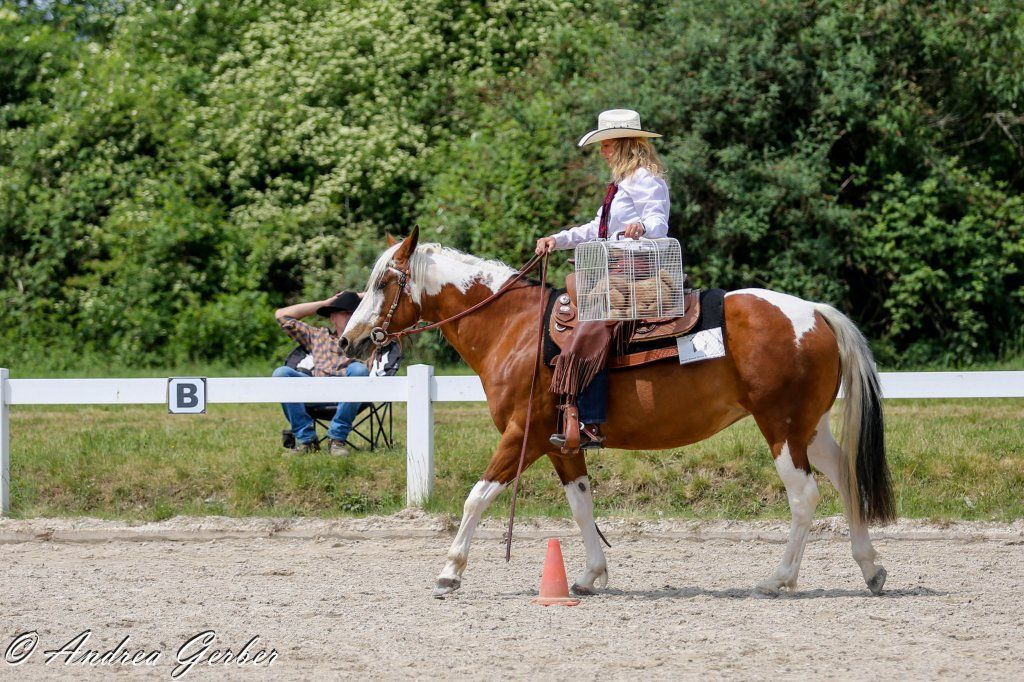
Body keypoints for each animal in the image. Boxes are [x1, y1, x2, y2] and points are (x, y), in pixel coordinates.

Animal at [341, 227, 896, 598]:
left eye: (383, 281)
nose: (348, 341)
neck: (514, 329)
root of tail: (816, 312)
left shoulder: (523, 435)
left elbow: (476, 497)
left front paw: (450, 571)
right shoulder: (561, 443)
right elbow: (581, 505)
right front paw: (589, 575)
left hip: (780, 427)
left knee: (804, 497)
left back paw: (778, 579)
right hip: (810, 428)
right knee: (847, 479)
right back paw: (870, 568)